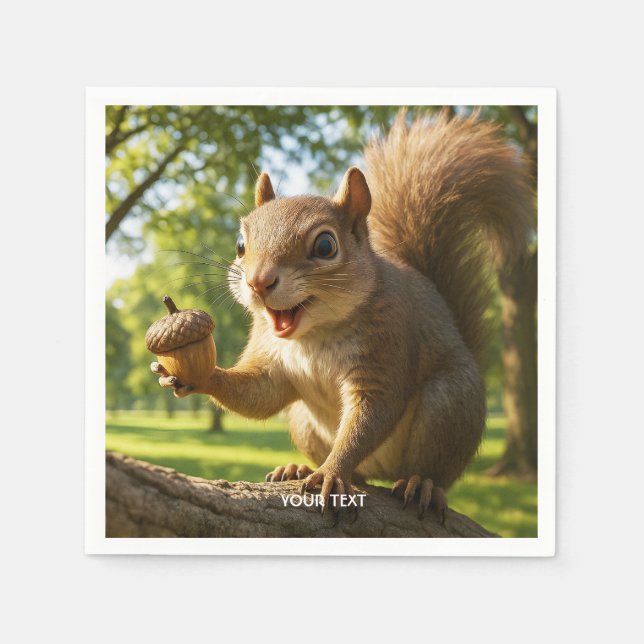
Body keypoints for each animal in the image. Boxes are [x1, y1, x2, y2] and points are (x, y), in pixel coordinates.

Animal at [152, 110, 533, 519]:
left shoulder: (388, 343)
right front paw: (199, 375)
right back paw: (300, 467)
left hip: (449, 405)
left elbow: (371, 414)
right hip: (303, 421)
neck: (314, 334)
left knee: (435, 470)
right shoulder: (269, 353)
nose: (258, 282)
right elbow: (259, 393)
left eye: (325, 246)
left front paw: (332, 473)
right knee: (356, 470)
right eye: (240, 244)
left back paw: (421, 484)